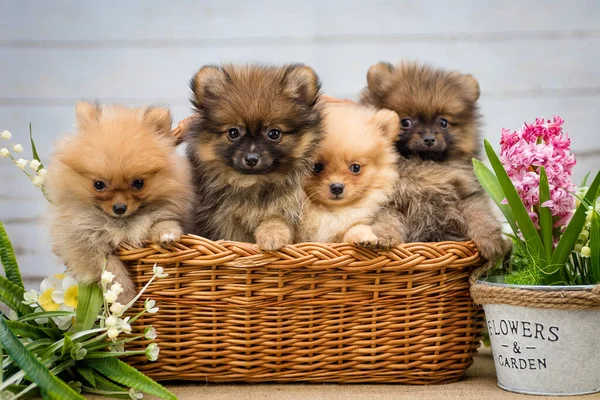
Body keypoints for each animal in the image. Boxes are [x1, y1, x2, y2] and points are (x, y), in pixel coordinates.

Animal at [185, 63, 324, 248]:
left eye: (274, 133)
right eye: (233, 132)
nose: (251, 159)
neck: (254, 181)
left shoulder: (288, 206)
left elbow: (275, 220)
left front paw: (271, 237)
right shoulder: (224, 219)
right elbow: (232, 238)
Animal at [358, 61, 508, 262]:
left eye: (443, 122)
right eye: (406, 122)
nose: (429, 138)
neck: (422, 164)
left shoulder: (466, 192)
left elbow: (479, 212)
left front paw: (490, 240)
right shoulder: (383, 199)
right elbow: (385, 217)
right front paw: (383, 237)